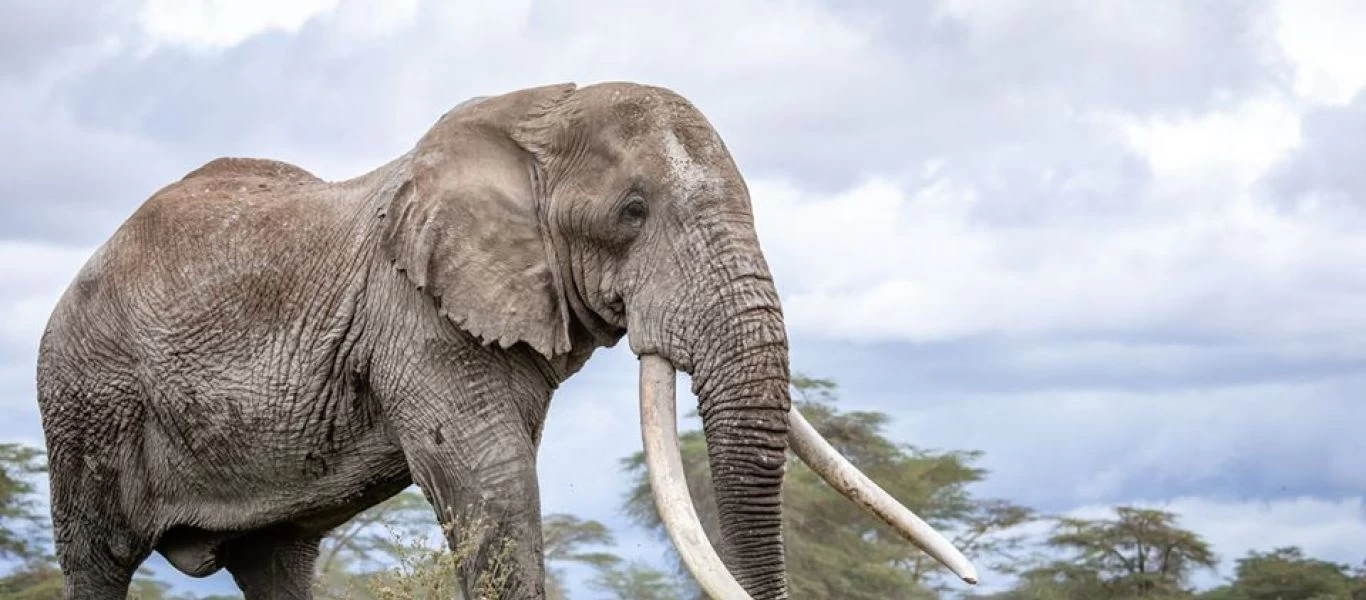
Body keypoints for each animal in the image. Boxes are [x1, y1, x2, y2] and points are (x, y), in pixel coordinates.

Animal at [32, 80, 972, 600]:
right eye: (633, 213)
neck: (535, 120)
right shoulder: (414, 313)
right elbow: (493, 488)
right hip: (84, 401)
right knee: (99, 557)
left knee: (276, 563)